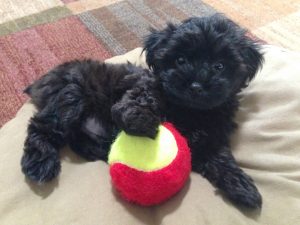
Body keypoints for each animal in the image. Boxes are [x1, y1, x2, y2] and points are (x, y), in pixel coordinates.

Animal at [144, 13, 264, 208]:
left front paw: (241, 186)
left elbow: (221, 157)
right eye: (180, 60)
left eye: (219, 66)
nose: (196, 86)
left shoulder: (214, 135)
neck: (193, 112)